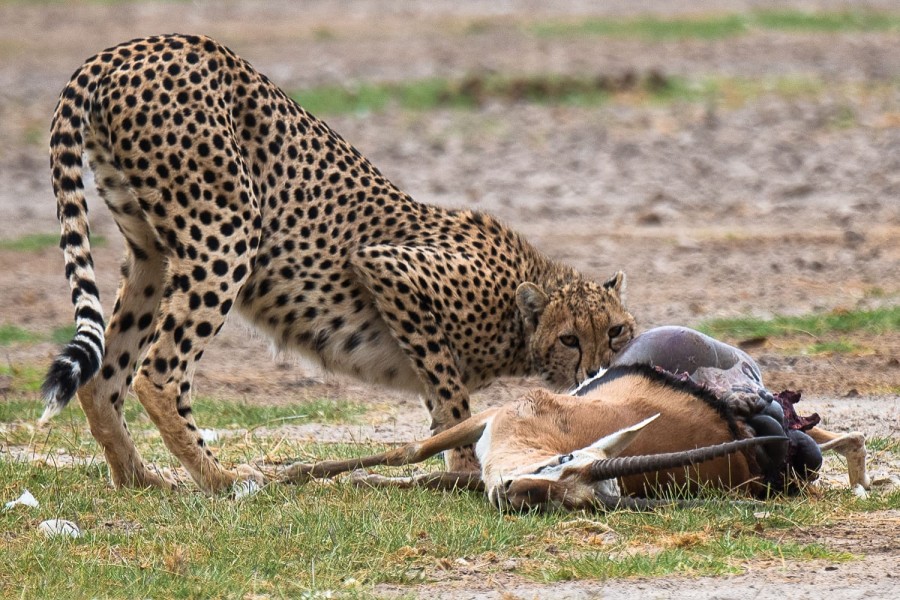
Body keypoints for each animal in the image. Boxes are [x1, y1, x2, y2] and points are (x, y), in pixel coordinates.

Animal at [40, 33, 636, 494]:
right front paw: (465, 469)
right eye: (569, 339)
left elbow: (439, 396)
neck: (521, 306)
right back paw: (223, 480)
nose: (597, 373)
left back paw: (141, 479)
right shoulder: (386, 267)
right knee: (158, 374)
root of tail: (127, 48)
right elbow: (452, 396)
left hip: (151, 253)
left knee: (104, 376)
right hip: (228, 230)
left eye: (617, 331)